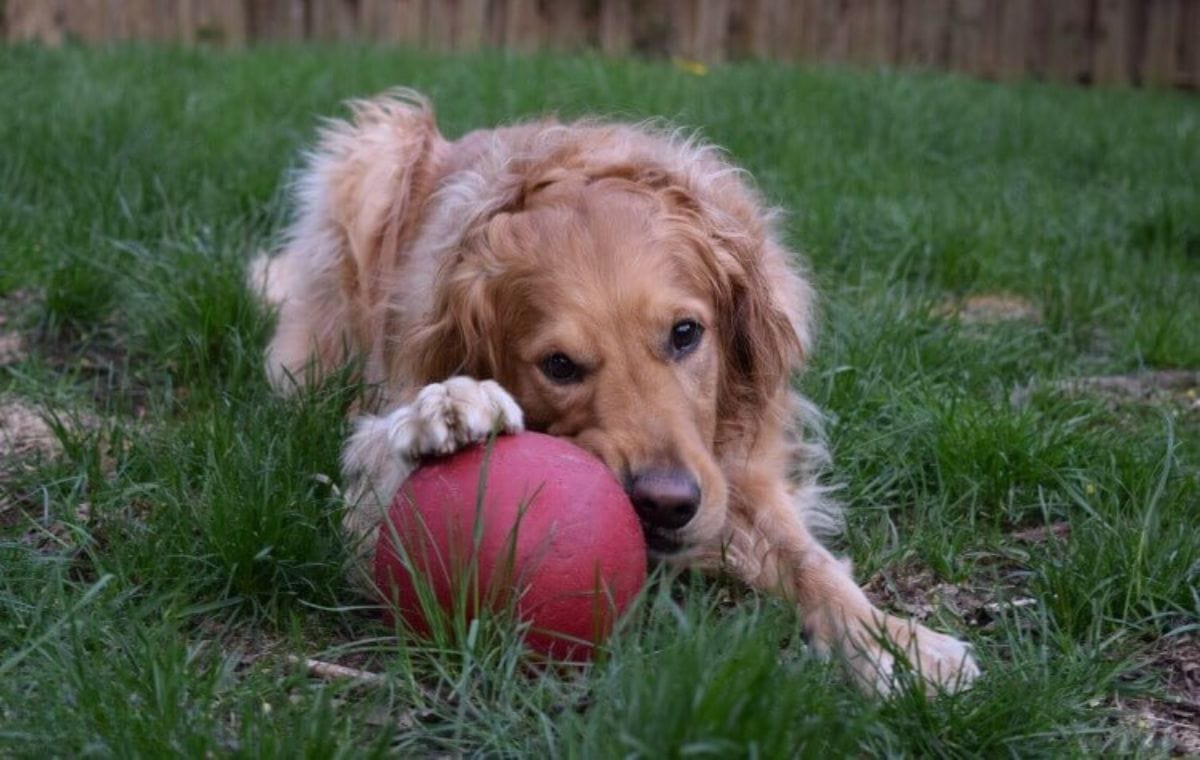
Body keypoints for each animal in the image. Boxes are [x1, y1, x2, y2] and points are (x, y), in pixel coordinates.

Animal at [250, 88, 974, 691]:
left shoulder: (742, 469)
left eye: (685, 333)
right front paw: (450, 407)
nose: (665, 504)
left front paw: (897, 644)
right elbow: (382, 454)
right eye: (559, 365)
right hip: (378, 147)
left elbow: (810, 560)